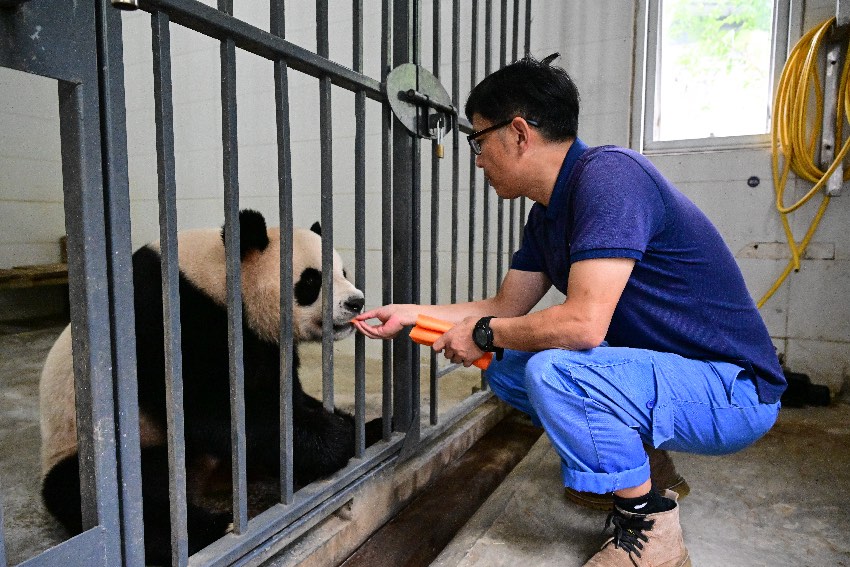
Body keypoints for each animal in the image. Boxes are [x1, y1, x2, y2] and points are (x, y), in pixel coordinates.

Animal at [41, 211, 380, 564]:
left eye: (343, 272)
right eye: (311, 281)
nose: (356, 302)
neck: (218, 279)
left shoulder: (261, 342)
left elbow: (284, 395)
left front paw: (352, 426)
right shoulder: (164, 319)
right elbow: (208, 409)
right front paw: (336, 436)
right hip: (95, 454)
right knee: (114, 495)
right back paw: (209, 529)